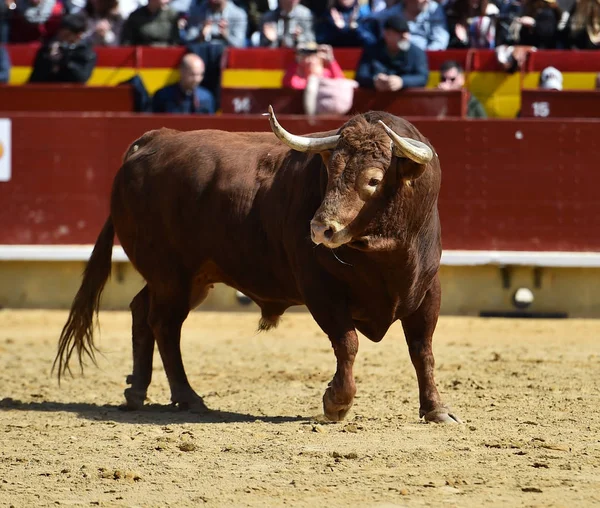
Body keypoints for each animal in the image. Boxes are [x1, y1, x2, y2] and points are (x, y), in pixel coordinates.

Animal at [54, 108, 462, 424]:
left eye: (373, 180)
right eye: (330, 173)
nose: (320, 228)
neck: (383, 255)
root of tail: (153, 140)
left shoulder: (428, 290)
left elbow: (422, 350)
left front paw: (436, 409)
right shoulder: (320, 290)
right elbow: (347, 342)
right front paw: (336, 403)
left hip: (187, 278)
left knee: (143, 312)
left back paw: (138, 391)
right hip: (171, 275)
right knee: (164, 324)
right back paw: (188, 397)